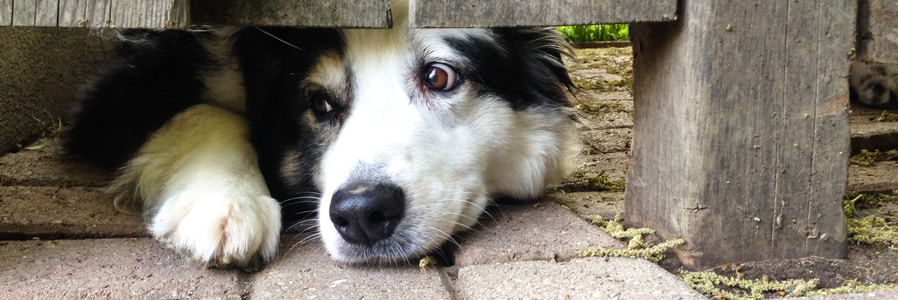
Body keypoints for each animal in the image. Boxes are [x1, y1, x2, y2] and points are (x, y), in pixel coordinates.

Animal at [65, 1, 580, 268]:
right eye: (319, 104)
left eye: (438, 77)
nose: (362, 214)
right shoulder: (121, 86)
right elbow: (206, 112)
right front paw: (224, 202)